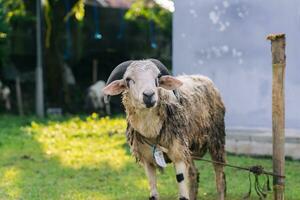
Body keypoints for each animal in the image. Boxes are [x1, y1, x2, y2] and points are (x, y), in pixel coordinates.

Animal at [102, 59, 225, 200]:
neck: (152, 132)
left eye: (157, 78)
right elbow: (153, 194)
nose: (149, 95)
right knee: (194, 173)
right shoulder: (148, 161)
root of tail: (204, 77)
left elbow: (183, 194)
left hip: (216, 138)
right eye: (128, 79)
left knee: (220, 177)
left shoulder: (178, 156)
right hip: (187, 148)